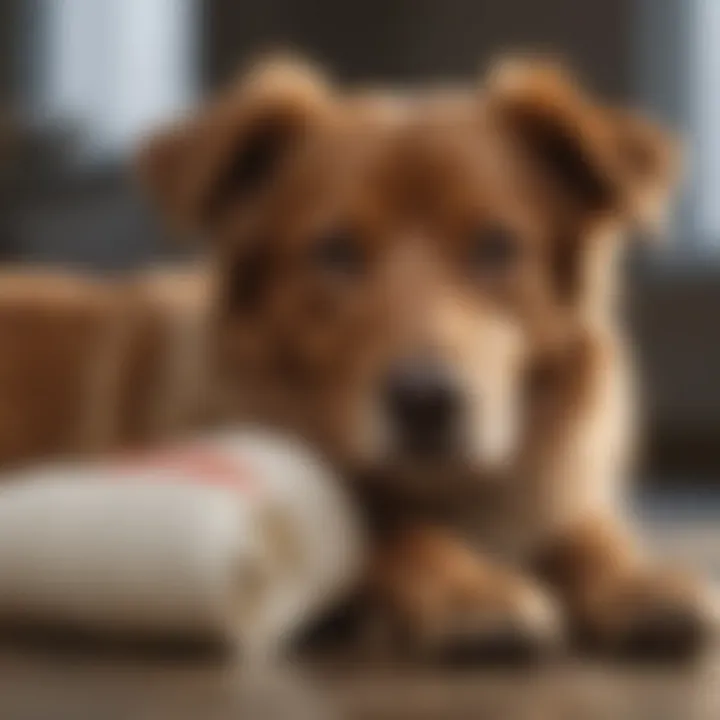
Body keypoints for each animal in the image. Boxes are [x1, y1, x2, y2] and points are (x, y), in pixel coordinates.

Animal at [0, 56, 712, 660]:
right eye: (335, 250)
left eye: (495, 245)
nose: (428, 401)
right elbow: (385, 532)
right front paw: (465, 588)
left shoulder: (553, 495)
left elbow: (588, 534)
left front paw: (636, 579)